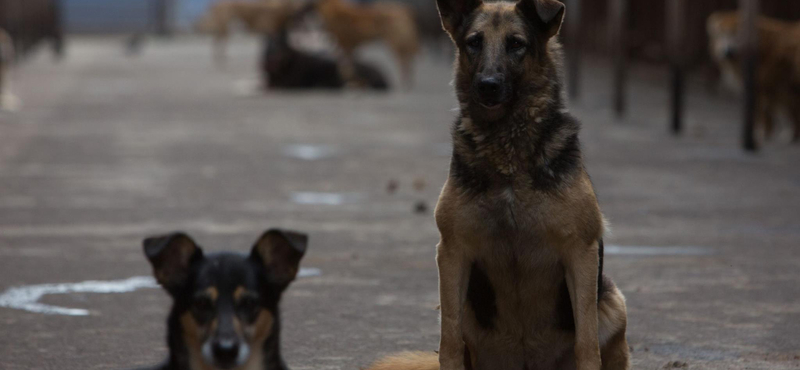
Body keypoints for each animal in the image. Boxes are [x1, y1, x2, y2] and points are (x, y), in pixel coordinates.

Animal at [708, 11, 800, 142]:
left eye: (736, 34)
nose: (727, 52)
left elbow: (763, 113)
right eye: (722, 34)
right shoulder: (777, 90)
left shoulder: (763, 88)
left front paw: (762, 134)